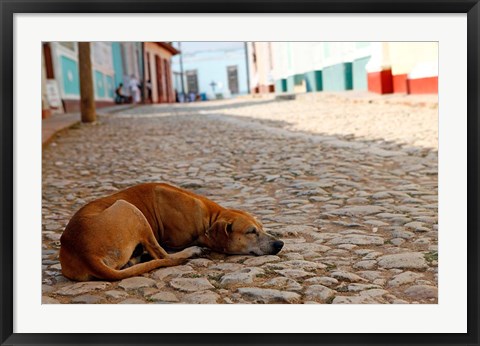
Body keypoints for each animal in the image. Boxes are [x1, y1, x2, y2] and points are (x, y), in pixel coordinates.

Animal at [61, 182, 284, 280]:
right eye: (251, 232)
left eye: (261, 228)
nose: (279, 244)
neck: (209, 217)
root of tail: (83, 250)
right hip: (129, 208)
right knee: (163, 256)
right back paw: (190, 252)